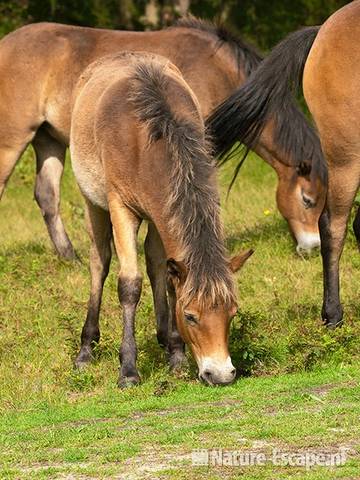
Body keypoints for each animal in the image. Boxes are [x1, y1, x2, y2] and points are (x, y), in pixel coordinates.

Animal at [0, 20, 326, 256]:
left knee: (47, 196)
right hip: (12, 141)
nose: (312, 248)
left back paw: (70, 257)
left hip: (48, 140)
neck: (217, 72)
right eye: (307, 200)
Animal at [70, 49, 253, 386]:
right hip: (94, 205)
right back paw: (86, 350)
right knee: (99, 262)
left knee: (155, 264)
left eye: (232, 313)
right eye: (191, 315)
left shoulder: (162, 211)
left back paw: (164, 339)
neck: (147, 138)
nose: (221, 374)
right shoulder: (121, 209)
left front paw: (176, 355)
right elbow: (129, 285)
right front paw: (128, 370)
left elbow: (166, 277)